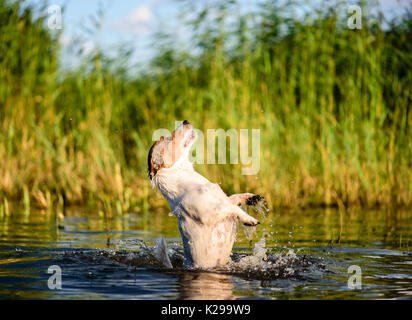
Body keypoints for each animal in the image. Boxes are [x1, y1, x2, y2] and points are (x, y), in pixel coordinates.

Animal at [148, 121, 260, 268]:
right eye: (168, 139)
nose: (185, 121)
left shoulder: (222, 201)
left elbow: (233, 198)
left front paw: (250, 198)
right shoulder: (210, 214)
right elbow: (234, 208)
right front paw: (249, 219)